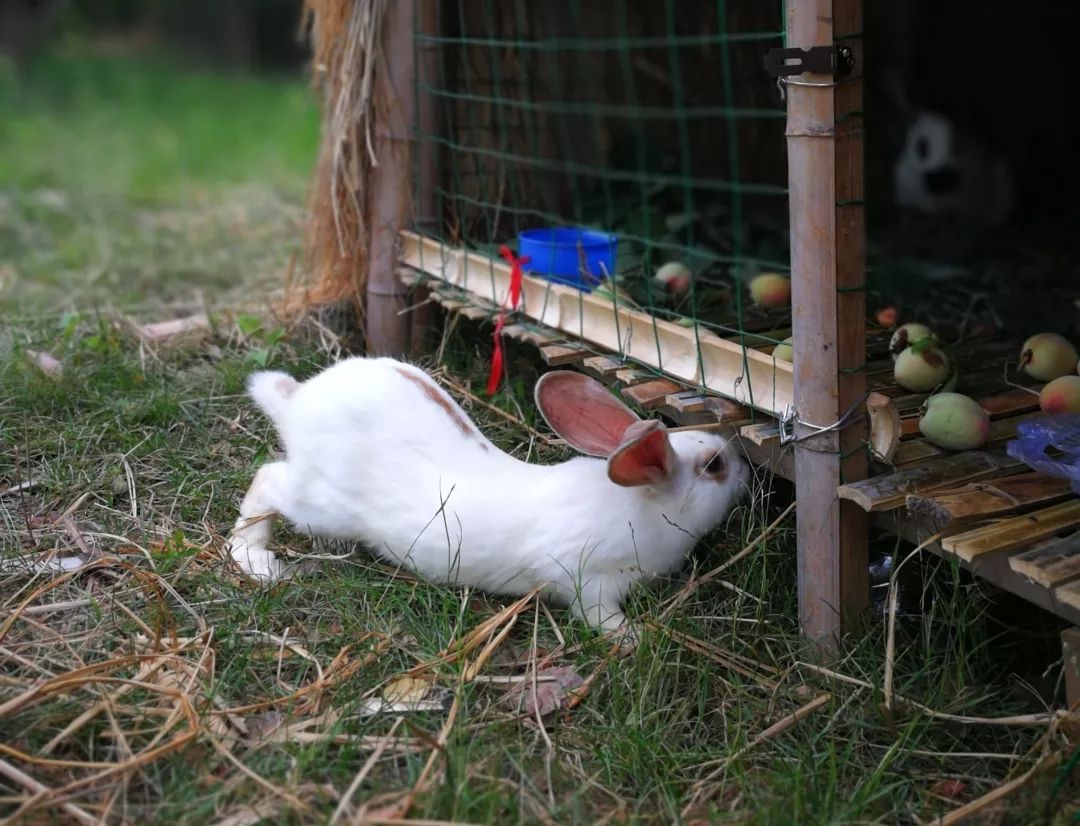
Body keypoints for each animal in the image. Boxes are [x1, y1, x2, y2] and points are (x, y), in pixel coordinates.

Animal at [225, 356, 751, 630]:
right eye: (714, 466)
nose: (746, 467)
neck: (638, 506)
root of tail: (296, 403)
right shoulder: (589, 581)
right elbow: (602, 619)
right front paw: (636, 639)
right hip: (321, 503)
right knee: (267, 480)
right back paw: (259, 563)